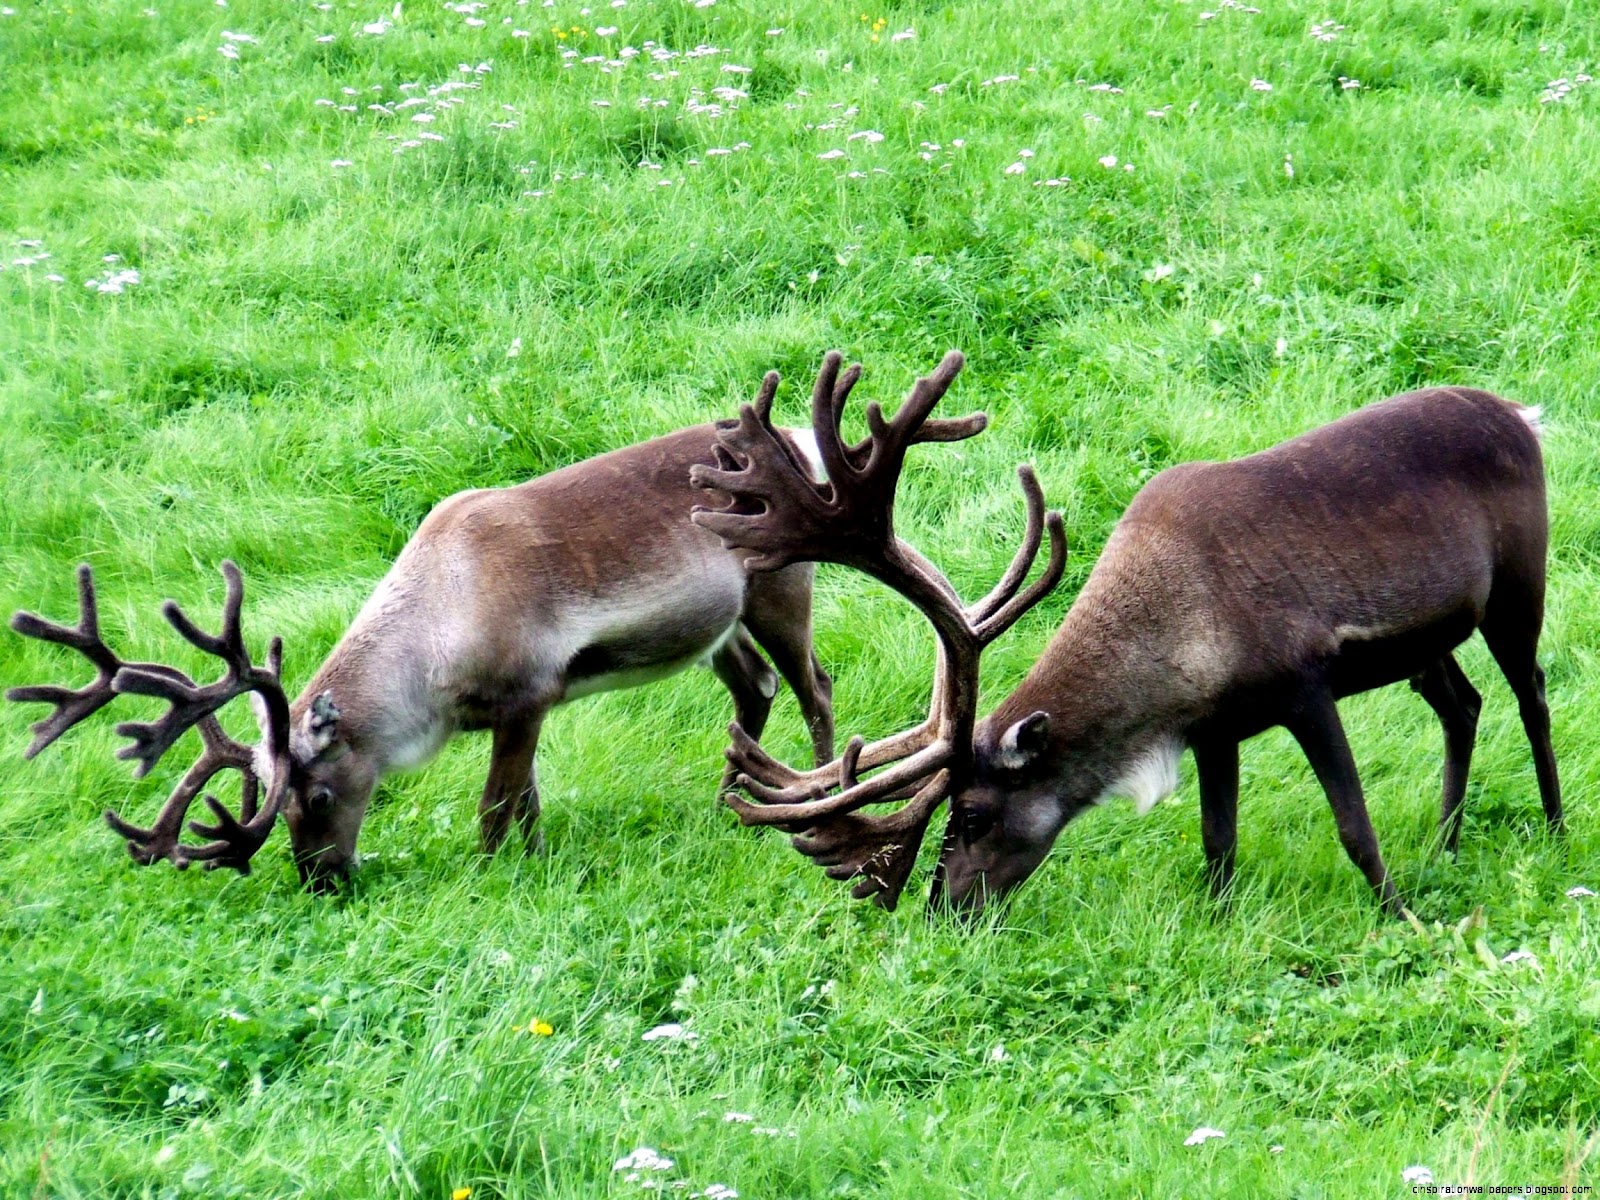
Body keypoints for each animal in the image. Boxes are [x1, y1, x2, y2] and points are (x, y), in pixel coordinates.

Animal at [7, 423, 860, 890]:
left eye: (320, 795)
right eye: (276, 804)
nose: (321, 880)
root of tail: (798, 443)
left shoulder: (528, 695)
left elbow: (495, 807)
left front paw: (491, 875)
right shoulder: (519, 715)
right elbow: (528, 801)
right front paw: (535, 860)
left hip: (782, 588)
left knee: (813, 685)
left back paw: (818, 793)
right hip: (721, 625)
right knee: (754, 690)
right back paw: (726, 805)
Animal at [689, 351, 1562, 917]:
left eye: (972, 815)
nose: (944, 908)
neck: (1178, 646)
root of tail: (1523, 415)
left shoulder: (1303, 685)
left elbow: (1353, 826)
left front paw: (1397, 916)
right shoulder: (1217, 727)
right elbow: (1217, 840)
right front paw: (1215, 922)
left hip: (1520, 585)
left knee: (1532, 696)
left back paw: (1554, 829)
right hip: (1428, 640)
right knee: (1461, 703)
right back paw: (1447, 843)